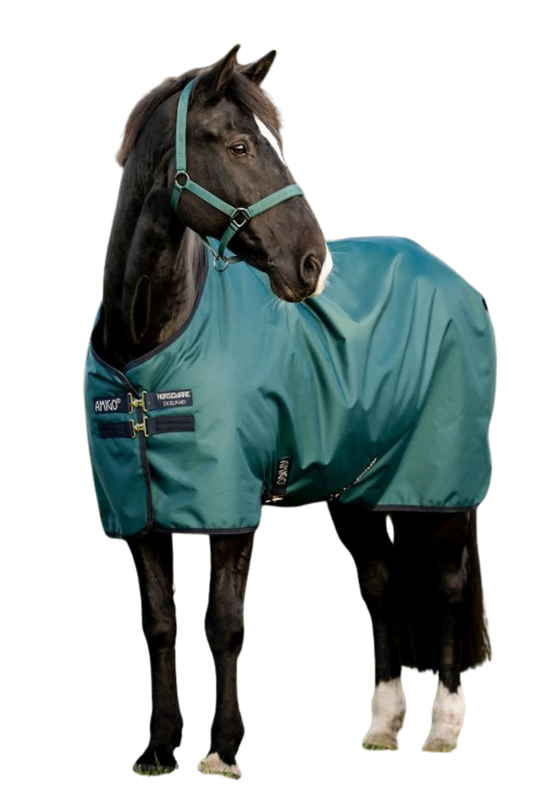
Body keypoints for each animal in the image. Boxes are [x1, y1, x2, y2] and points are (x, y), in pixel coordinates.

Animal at [81, 42, 498, 780]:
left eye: (278, 141)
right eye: (240, 145)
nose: (311, 265)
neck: (147, 350)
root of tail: (454, 278)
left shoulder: (233, 508)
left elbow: (223, 624)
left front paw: (222, 751)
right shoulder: (137, 514)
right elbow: (159, 624)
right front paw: (158, 749)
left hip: (441, 481)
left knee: (447, 587)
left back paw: (442, 728)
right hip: (360, 487)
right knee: (381, 585)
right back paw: (382, 727)